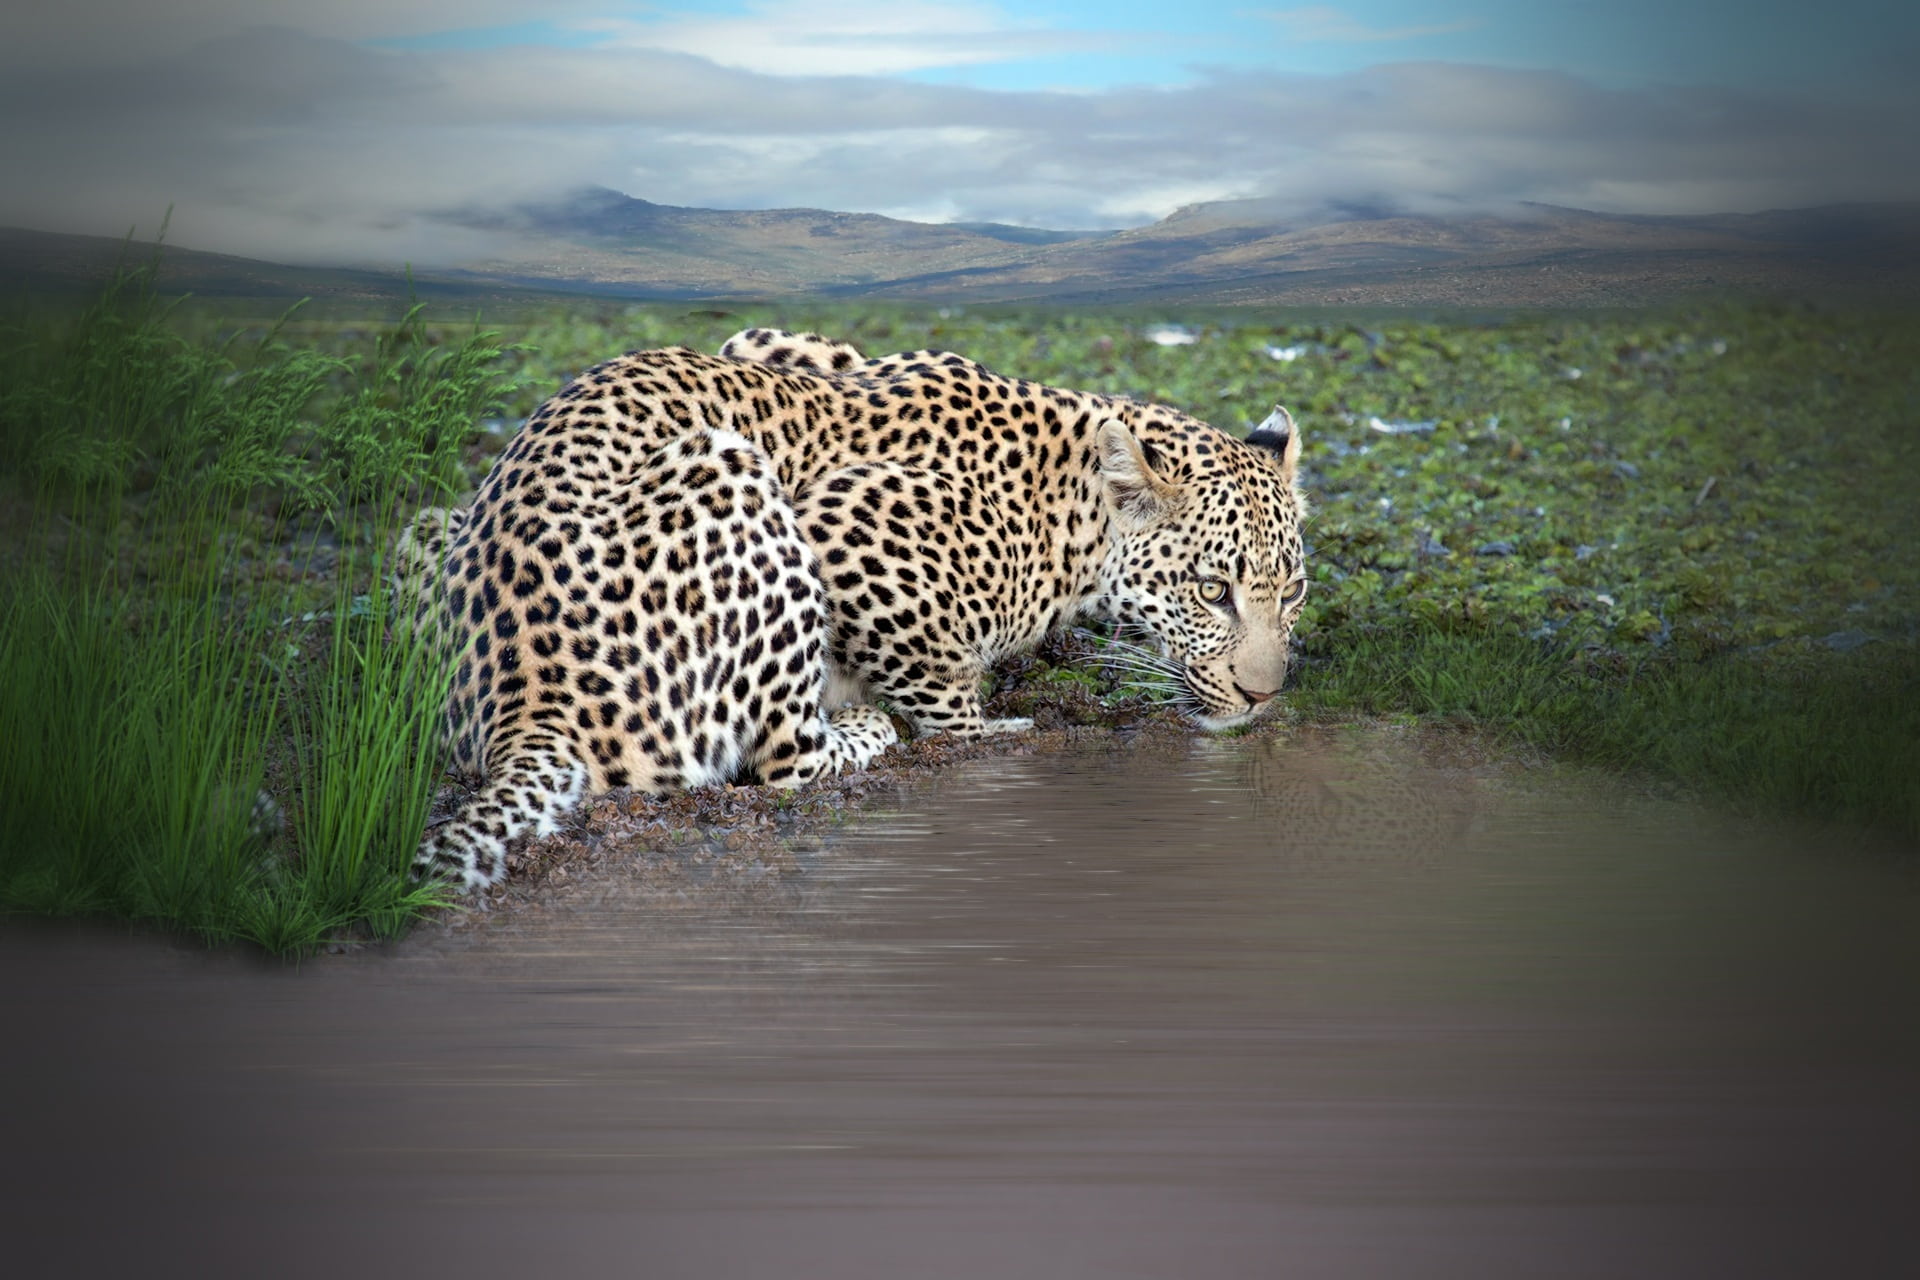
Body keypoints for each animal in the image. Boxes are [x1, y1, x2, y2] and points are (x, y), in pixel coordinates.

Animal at [404, 327, 1308, 889]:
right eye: (1213, 590)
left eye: (1292, 592)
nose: (1264, 696)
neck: (1075, 513)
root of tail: (525, 715)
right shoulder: (846, 526)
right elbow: (946, 693)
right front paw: (990, 726)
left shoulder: (777, 346)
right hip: (731, 468)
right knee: (784, 763)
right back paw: (867, 728)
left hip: (429, 527)